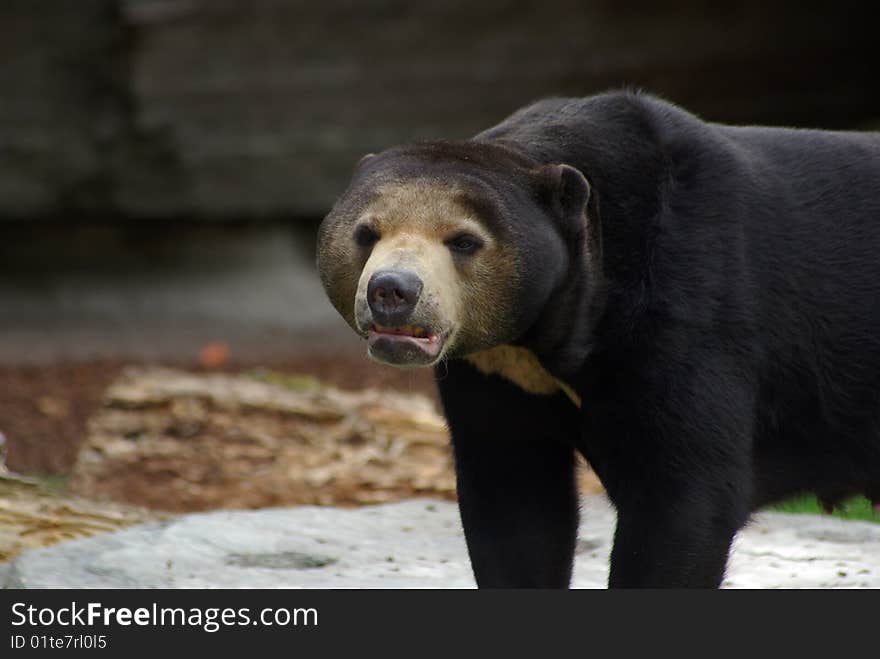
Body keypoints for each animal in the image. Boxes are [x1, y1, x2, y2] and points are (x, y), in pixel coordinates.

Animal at [316, 91, 880, 588]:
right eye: (367, 233)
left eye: (464, 241)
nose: (392, 291)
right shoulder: (494, 371)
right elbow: (514, 501)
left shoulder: (689, 314)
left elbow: (682, 500)